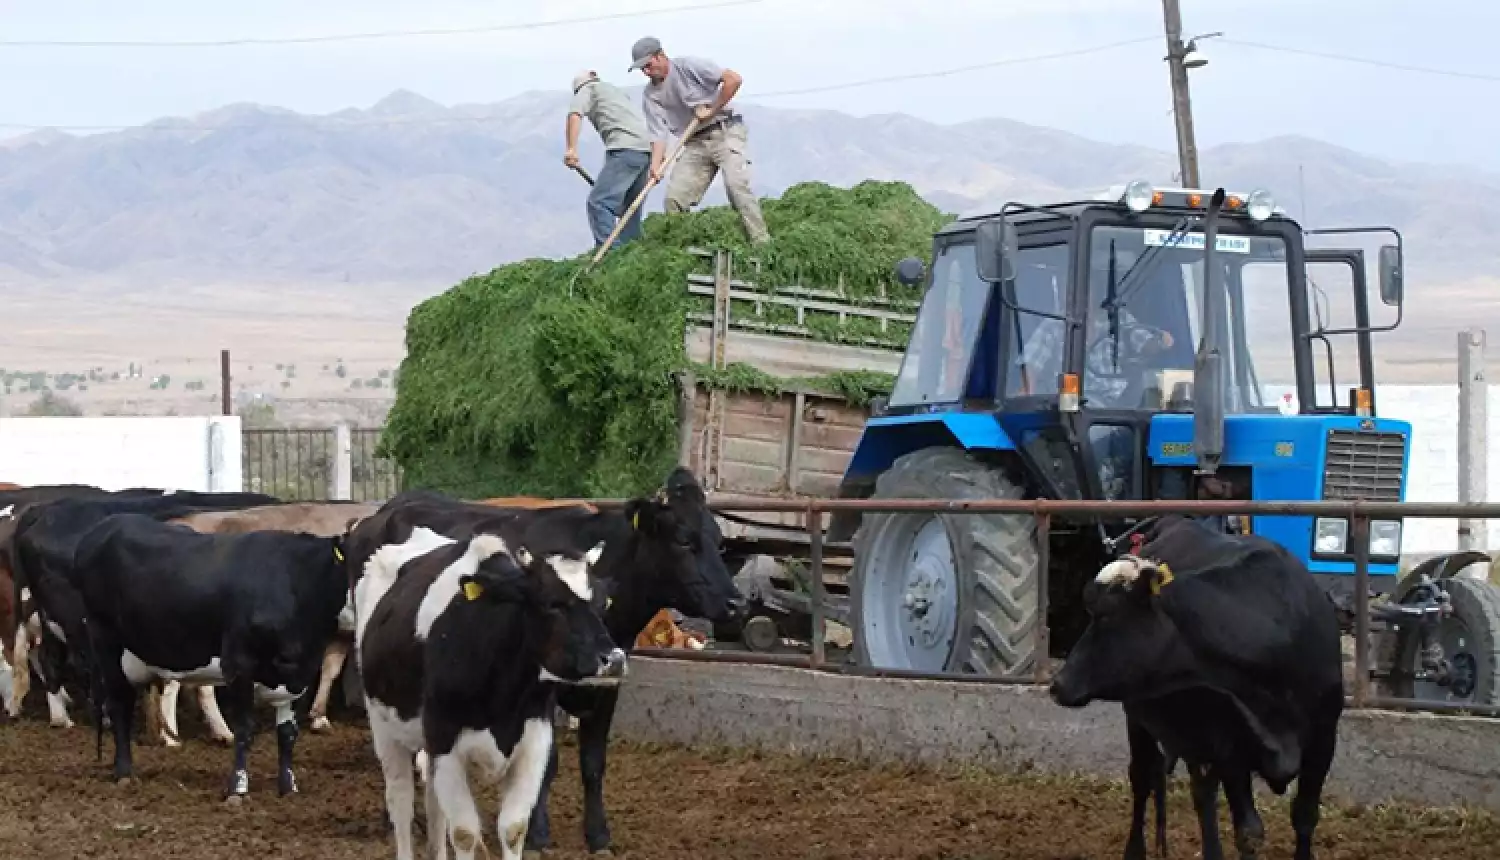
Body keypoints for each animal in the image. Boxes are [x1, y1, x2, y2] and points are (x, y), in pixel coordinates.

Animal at [30, 510, 346, 798]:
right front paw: (237, 788)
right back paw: (123, 772)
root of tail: (106, 527)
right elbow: (245, 728)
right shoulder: (239, 664)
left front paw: (288, 787)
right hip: (105, 641)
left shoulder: (299, 674)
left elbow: (288, 734)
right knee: (118, 703)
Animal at [354, 522, 624, 858]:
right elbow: (464, 833)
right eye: (552, 604)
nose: (614, 659)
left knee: (433, 805)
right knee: (401, 802)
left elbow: (513, 828)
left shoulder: (534, 740)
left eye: (603, 604)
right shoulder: (445, 742)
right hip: (384, 728)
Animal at [1044, 513, 1350, 858]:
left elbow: (1304, 814)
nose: (1059, 684)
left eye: (1106, 616)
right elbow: (1249, 831)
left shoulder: (1323, 737)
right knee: (1145, 777)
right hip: (1141, 717)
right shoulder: (1229, 747)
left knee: (1199, 791)